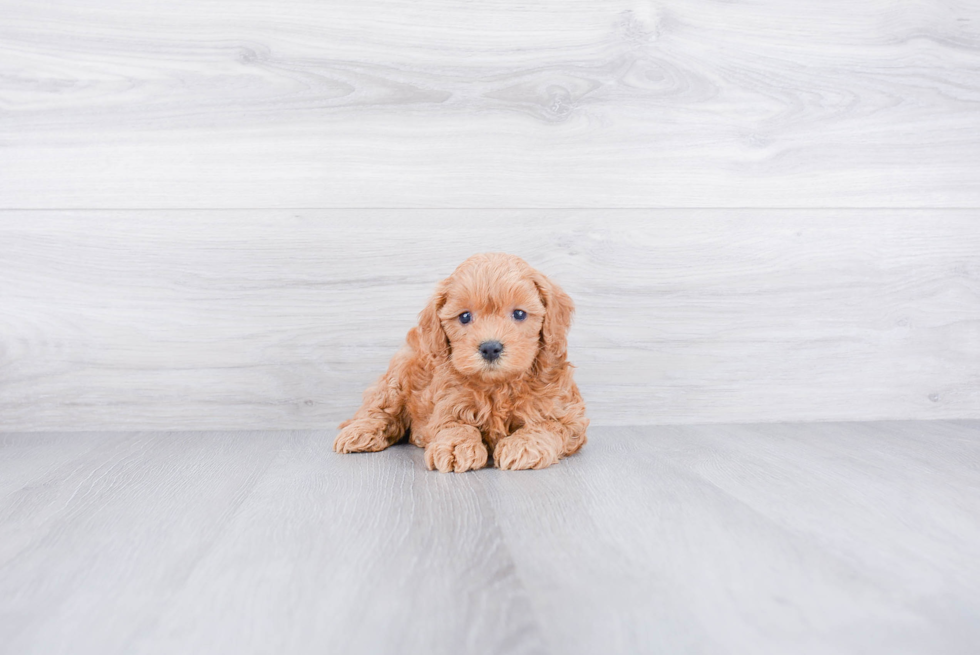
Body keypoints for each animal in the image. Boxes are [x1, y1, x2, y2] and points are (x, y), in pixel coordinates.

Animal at [334, 251, 584, 472]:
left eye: (520, 314)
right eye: (464, 317)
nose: (490, 348)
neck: (498, 386)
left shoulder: (569, 416)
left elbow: (548, 425)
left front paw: (523, 445)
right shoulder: (449, 402)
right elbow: (455, 425)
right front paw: (455, 447)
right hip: (398, 374)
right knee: (379, 408)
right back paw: (359, 432)